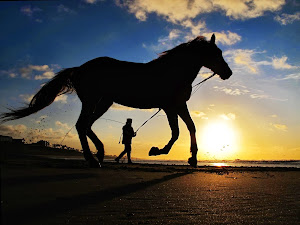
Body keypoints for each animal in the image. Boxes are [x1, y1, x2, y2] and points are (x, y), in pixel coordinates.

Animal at [0, 33, 232, 167]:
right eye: (216, 53)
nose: (228, 73)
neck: (173, 72)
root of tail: (79, 69)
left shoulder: (179, 105)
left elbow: (191, 127)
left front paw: (192, 158)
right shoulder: (169, 106)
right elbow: (176, 132)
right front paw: (157, 151)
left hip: (103, 102)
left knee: (86, 125)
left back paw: (100, 153)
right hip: (92, 100)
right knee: (82, 124)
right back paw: (93, 159)